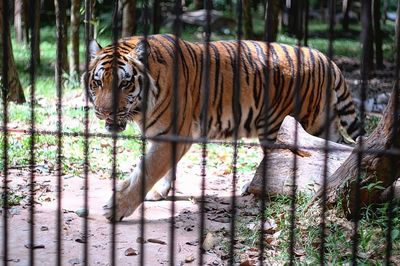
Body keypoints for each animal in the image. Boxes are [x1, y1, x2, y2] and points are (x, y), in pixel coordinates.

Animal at [83, 33, 360, 220]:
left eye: (124, 83)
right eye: (98, 82)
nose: (104, 112)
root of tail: (326, 58)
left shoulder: (174, 133)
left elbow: (147, 170)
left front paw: (117, 207)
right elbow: (163, 168)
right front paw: (160, 192)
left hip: (287, 124)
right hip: (323, 125)